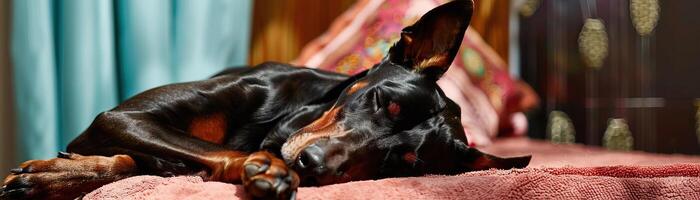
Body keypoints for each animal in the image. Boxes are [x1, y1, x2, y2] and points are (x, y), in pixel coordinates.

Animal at [0, 0, 524, 199]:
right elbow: (206, 148)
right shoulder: (121, 117)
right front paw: (268, 169)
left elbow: (148, 164)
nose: (311, 165)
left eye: (402, 162)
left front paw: (55, 174)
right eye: (382, 102)